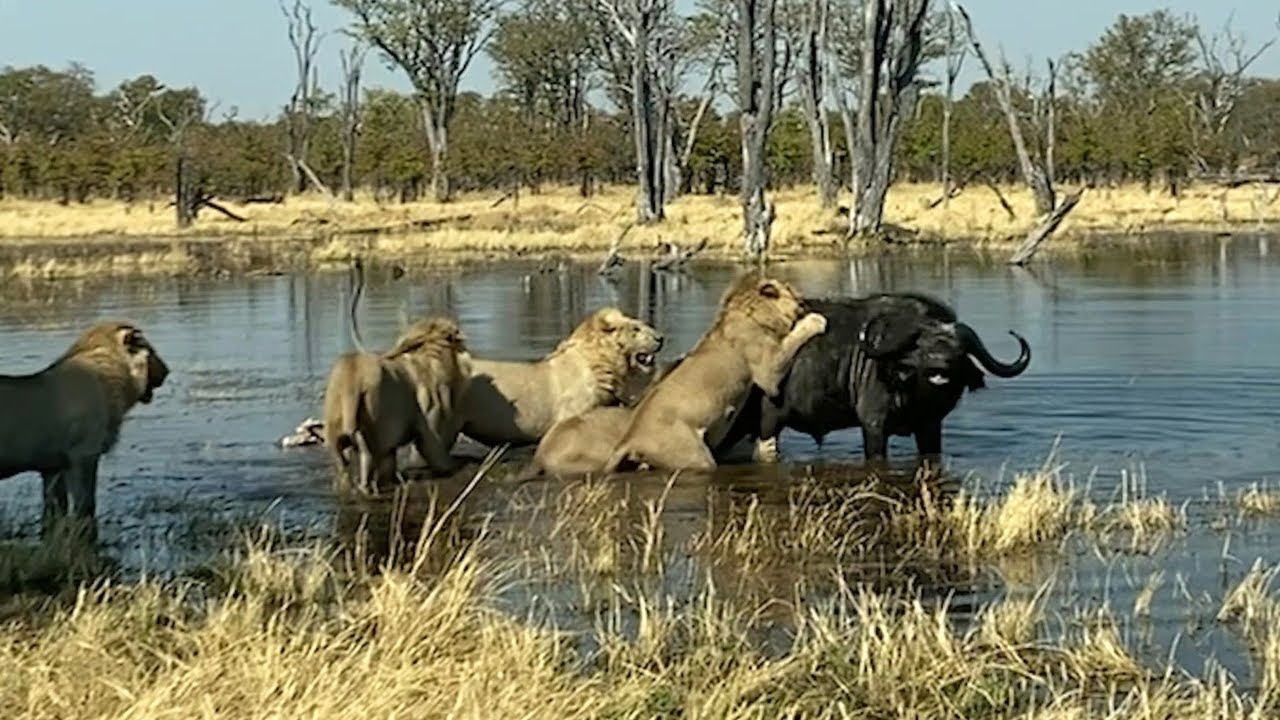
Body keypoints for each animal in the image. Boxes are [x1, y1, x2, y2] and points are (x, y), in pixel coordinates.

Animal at [0, 320, 170, 541]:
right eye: (150, 350)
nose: (167, 371)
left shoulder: (52, 467)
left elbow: (54, 511)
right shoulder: (84, 455)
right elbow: (86, 505)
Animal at [322, 316, 473, 494]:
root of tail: (353, 381)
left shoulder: (391, 443)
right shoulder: (428, 425)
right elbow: (434, 452)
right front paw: (455, 465)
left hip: (337, 431)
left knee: (344, 466)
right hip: (372, 432)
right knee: (366, 468)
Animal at [601, 273, 827, 474]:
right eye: (793, 291)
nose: (805, 299)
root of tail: (629, 439)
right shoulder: (769, 371)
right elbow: (793, 338)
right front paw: (816, 321)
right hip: (696, 455)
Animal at [717, 292, 1031, 467]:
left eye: (958, 348)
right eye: (922, 345)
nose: (941, 365)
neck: (912, 395)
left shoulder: (930, 427)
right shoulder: (874, 425)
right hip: (768, 423)